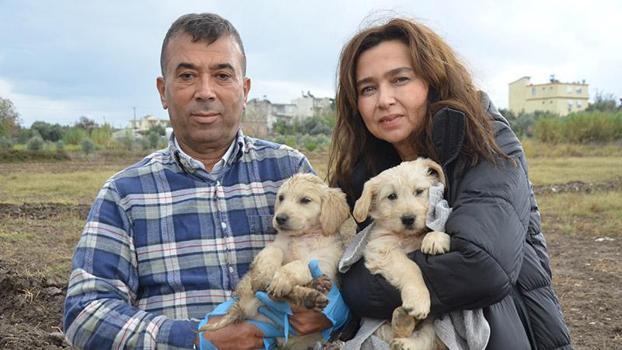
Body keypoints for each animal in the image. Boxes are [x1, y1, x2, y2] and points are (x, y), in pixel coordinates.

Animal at [202, 174, 354, 348]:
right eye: (281, 198)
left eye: (305, 200)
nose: (280, 218)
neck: (302, 237)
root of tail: (240, 306)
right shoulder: (276, 244)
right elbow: (273, 251)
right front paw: (264, 275)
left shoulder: (325, 261)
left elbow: (300, 263)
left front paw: (282, 278)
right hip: (250, 288)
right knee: (277, 296)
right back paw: (311, 292)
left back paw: (313, 290)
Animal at [354, 159, 450, 350]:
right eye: (391, 196)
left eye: (419, 191)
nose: (408, 219)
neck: (408, 236)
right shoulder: (381, 249)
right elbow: (410, 266)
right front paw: (418, 299)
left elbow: (436, 224)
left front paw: (435, 238)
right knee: (390, 333)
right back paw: (402, 320)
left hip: (434, 321)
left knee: (427, 337)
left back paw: (407, 338)